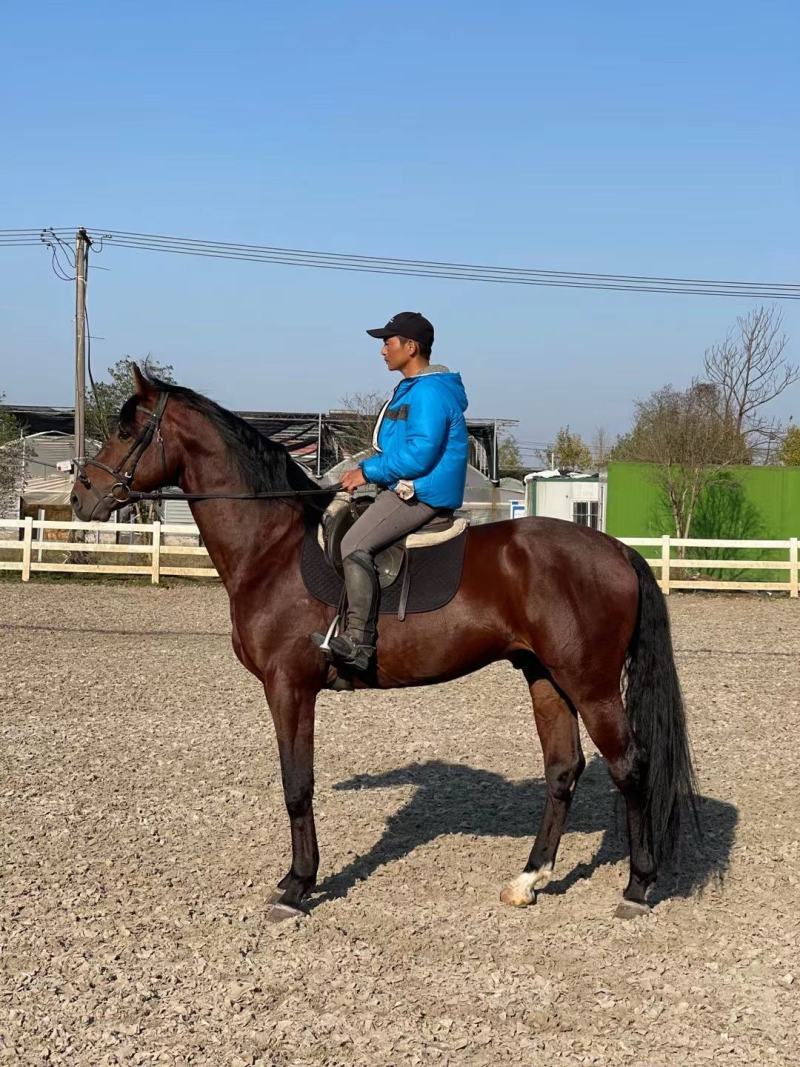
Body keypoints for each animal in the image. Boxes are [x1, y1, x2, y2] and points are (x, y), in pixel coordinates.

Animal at [71, 367, 698, 922]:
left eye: (127, 430)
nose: (81, 499)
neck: (271, 547)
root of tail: (617, 550)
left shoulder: (289, 686)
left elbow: (297, 784)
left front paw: (297, 886)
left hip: (590, 686)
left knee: (630, 766)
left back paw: (638, 886)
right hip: (545, 676)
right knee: (564, 768)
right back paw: (528, 881)